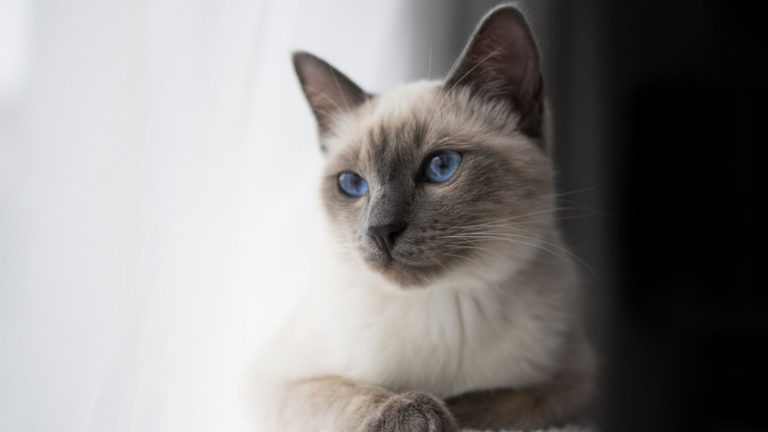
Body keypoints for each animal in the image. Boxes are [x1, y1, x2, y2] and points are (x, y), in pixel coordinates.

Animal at [252, 4, 592, 432]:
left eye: (441, 167)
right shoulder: (278, 383)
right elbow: (351, 395)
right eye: (352, 184)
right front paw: (414, 412)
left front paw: (448, 411)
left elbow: (495, 401)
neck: (445, 304)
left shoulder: (571, 382)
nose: (380, 230)